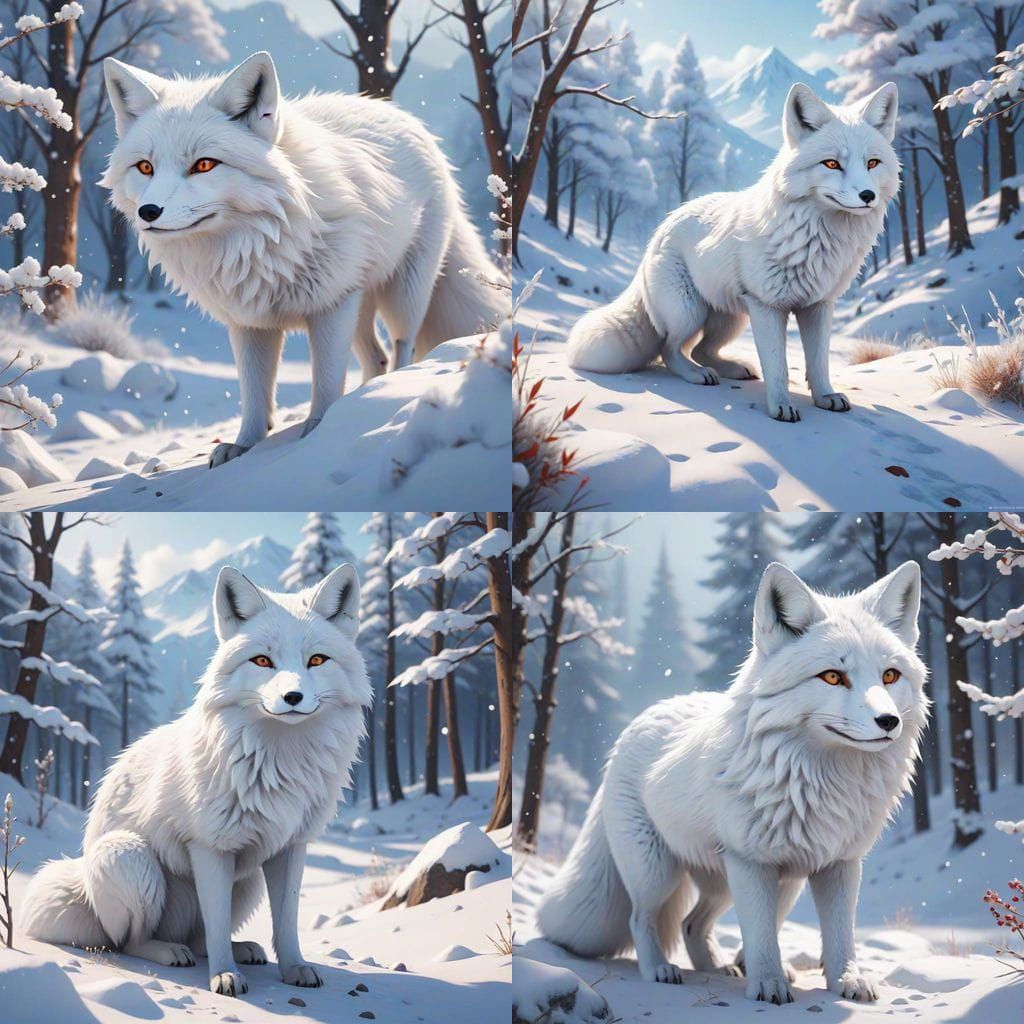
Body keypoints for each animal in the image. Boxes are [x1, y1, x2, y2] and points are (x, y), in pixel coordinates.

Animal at [23, 563, 371, 998]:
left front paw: (295, 968)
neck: (280, 759)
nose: (293, 697)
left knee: (199, 937)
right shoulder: (209, 847)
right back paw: (171, 951)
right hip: (129, 856)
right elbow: (217, 922)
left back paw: (243, 949)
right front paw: (224, 978)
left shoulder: (291, 846)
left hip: (248, 879)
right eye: (262, 661)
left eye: (317, 660)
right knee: (132, 941)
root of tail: (82, 885)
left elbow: (286, 920)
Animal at [100, 51, 502, 467]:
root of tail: (401, 115)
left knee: (400, 348)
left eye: (204, 165)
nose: (149, 212)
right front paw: (243, 446)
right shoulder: (249, 322)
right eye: (145, 167)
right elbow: (254, 394)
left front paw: (319, 432)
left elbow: (325, 381)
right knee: (374, 358)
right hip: (359, 305)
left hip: (402, 295)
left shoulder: (332, 306)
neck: (259, 243)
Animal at [537, 560, 928, 1006]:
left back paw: (720, 968)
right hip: (658, 872)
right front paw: (770, 987)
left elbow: (838, 935)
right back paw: (660, 970)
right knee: (642, 919)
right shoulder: (751, 862)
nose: (889, 721)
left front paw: (848, 981)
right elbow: (762, 936)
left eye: (890, 675)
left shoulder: (838, 863)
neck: (822, 780)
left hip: (756, 883)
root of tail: (641, 718)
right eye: (833, 677)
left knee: (692, 925)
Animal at [566, 82, 900, 422]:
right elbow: (778, 366)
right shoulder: (767, 306)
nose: (867, 195)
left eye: (872, 163)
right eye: (832, 164)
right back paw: (697, 374)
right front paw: (781, 408)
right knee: (670, 349)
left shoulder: (818, 305)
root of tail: (662, 227)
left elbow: (819, 362)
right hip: (690, 312)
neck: (817, 236)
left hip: (731, 319)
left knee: (701, 350)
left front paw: (825, 397)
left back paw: (734, 369)